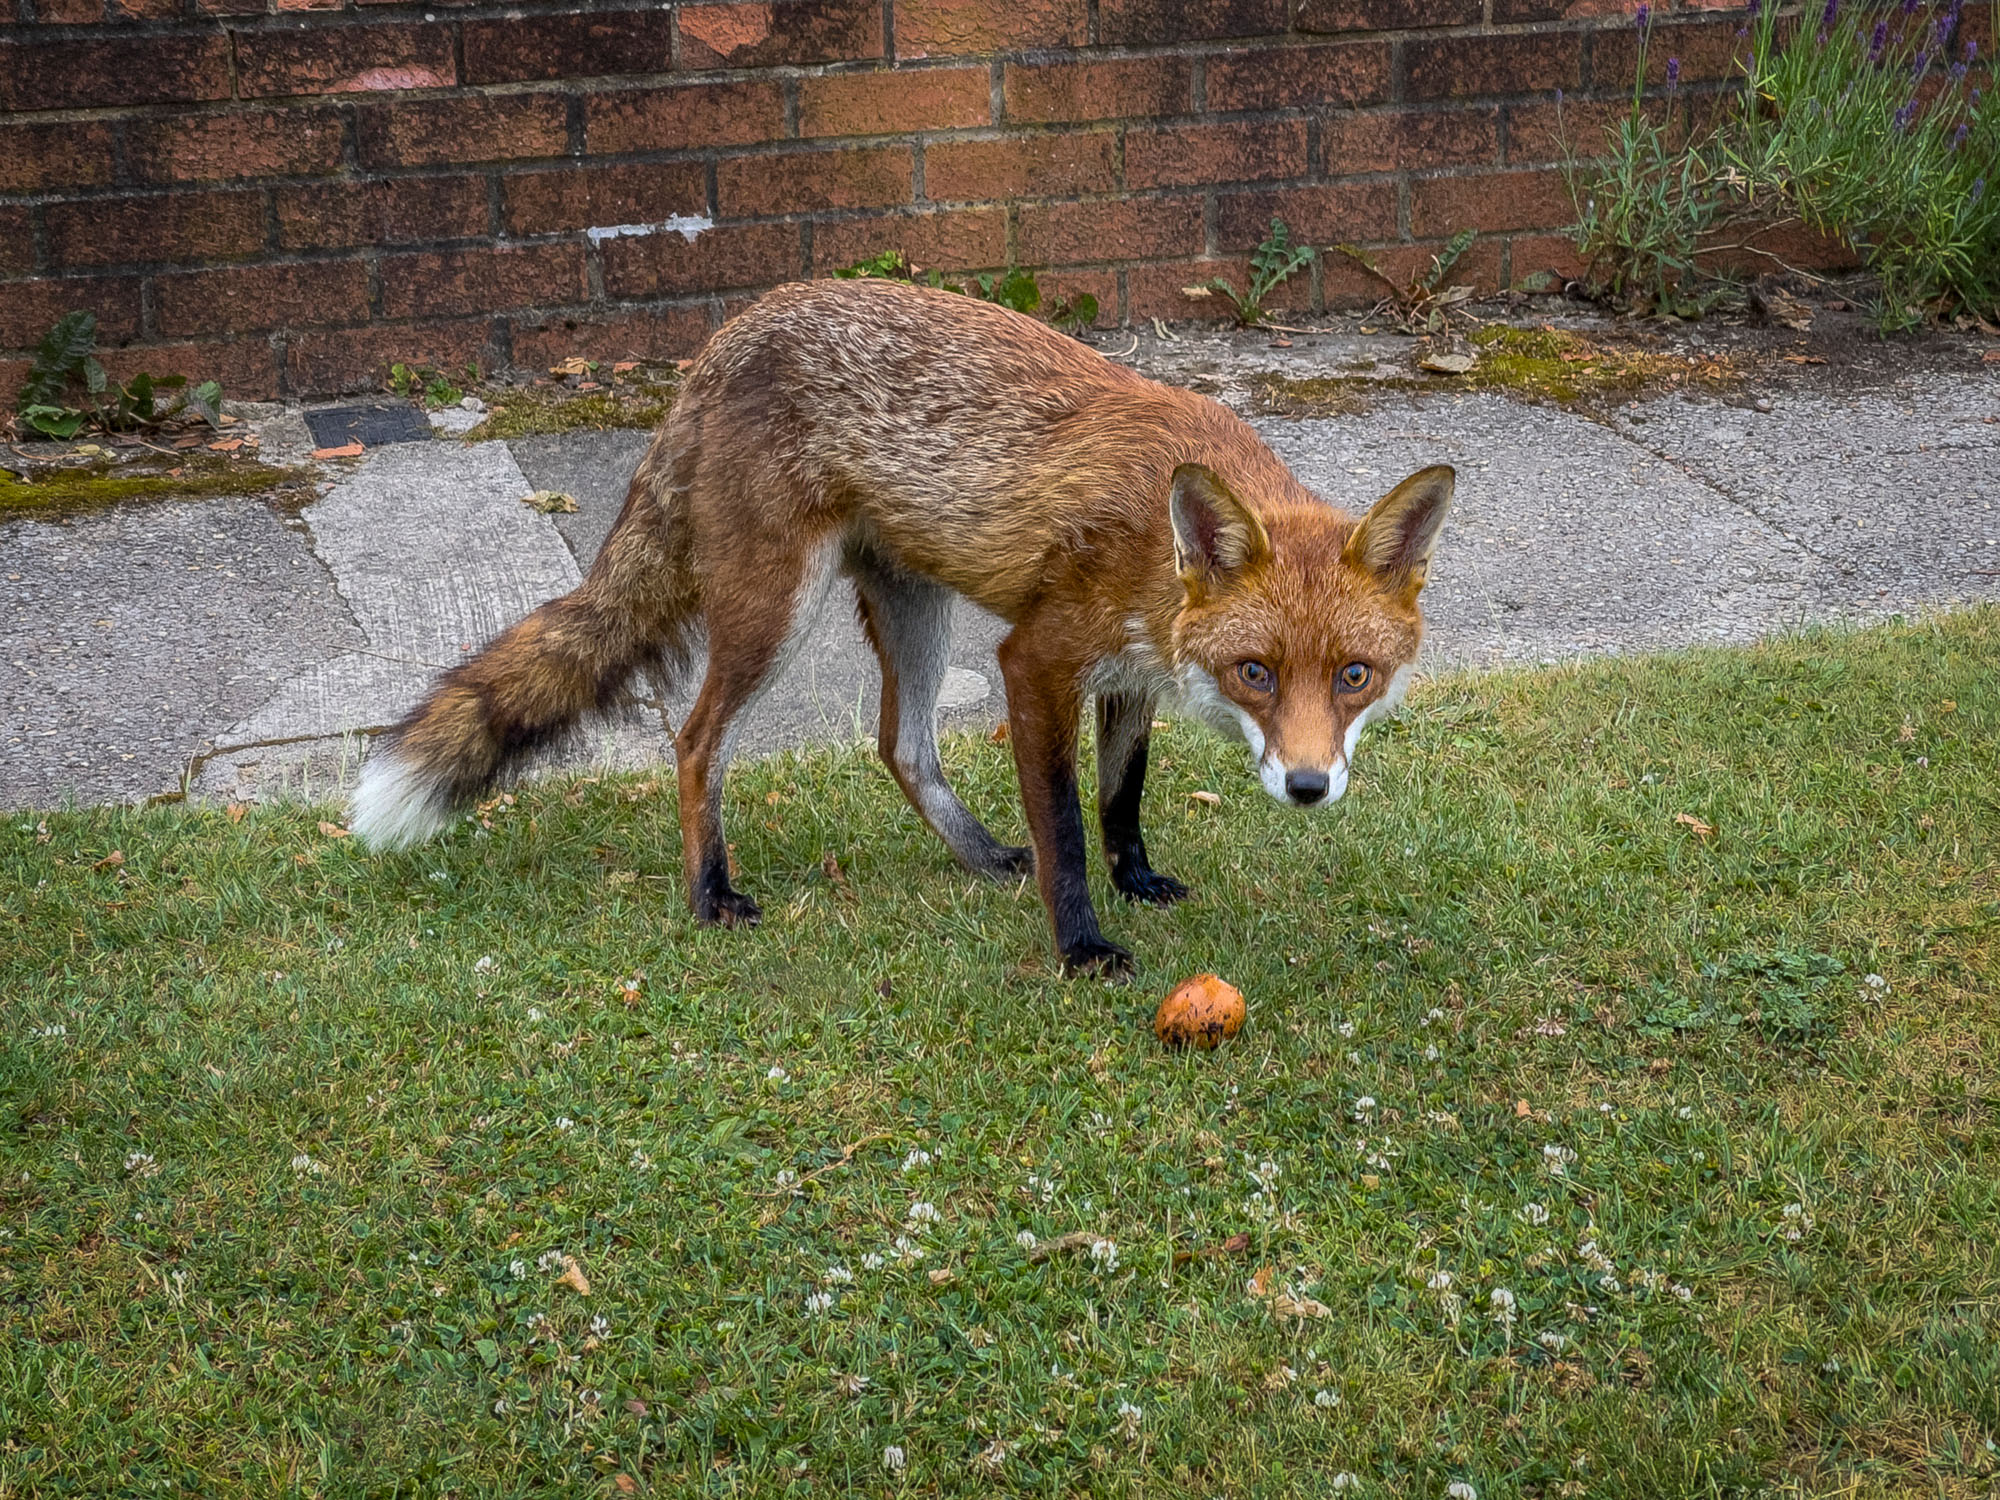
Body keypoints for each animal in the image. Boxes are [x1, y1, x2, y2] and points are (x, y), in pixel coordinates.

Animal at [351, 277, 1452, 977]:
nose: (1307, 787)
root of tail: (726, 336)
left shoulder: (1134, 675)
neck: (1156, 542)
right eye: (1256, 672)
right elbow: (1065, 827)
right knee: (697, 739)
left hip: (916, 607)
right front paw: (1081, 947)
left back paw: (979, 855)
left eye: (1352, 675)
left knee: (901, 744)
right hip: (776, 610)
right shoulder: (1036, 660)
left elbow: (1118, 801)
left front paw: (1135, 879)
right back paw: (710, 894)